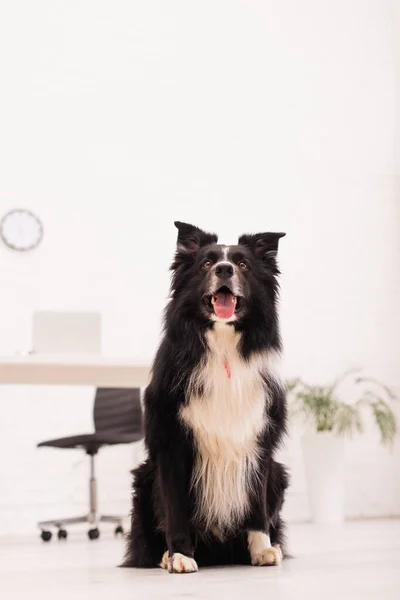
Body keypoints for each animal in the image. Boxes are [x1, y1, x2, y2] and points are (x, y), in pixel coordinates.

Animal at [122, 223, 288, 576]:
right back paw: (163, 556)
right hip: (143, 478)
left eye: (243, 265)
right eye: (206, 264)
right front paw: (180, 555)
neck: (222, 347)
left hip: (280, 475)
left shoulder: (259, 440)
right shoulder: (170, 443)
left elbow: (256, 503)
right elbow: (175, 507)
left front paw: (262, 549)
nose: (224, 269)